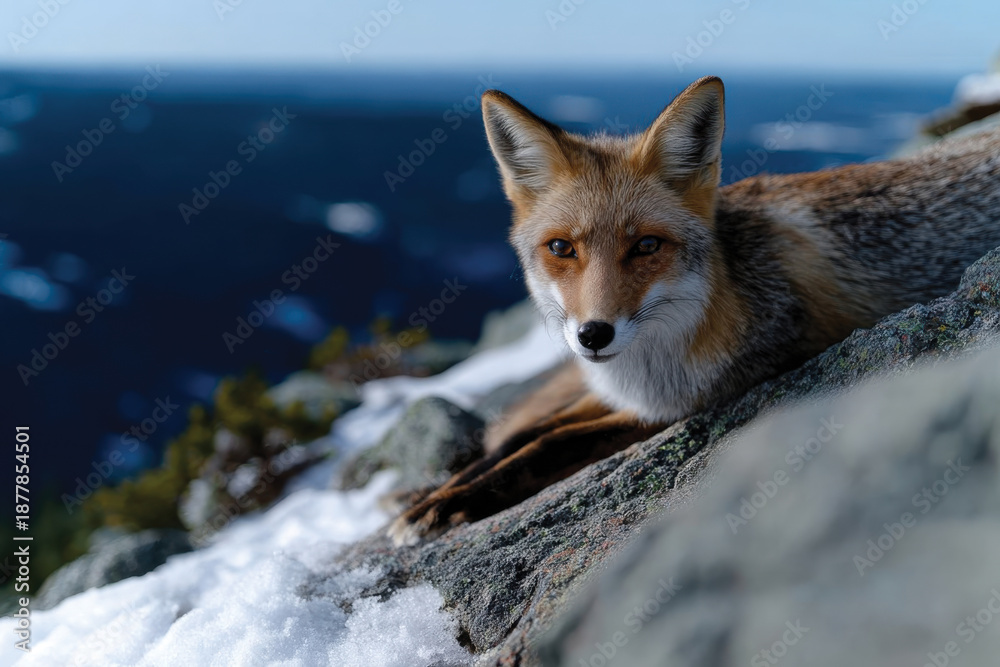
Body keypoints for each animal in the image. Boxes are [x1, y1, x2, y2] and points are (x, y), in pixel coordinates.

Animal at [388, 75, 1000, 546]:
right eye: (561, 248)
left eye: (646, 246)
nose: (593, 335)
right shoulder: (620, 395)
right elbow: (525, 434)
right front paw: (431, 494)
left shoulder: (684, 403)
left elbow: (549, 442)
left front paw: (446, 504)